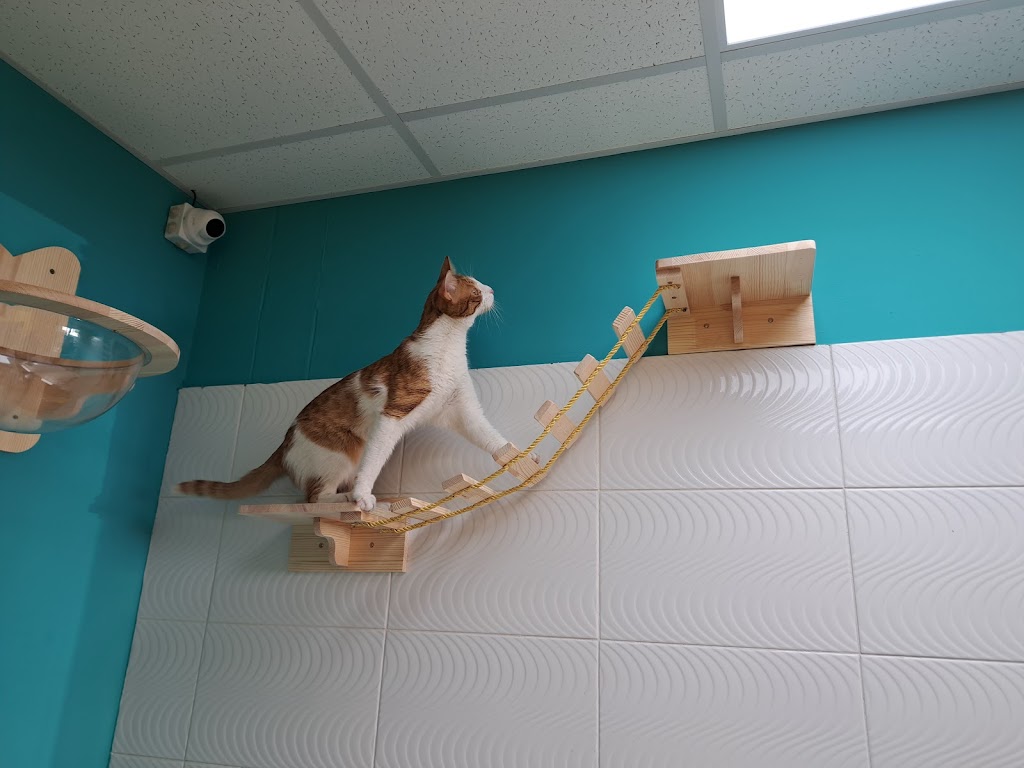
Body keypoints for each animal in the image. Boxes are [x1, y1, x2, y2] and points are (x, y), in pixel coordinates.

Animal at [178, 257, 511, 511]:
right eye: (476, 290)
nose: (494, 288)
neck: (448, 346)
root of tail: (283, 444)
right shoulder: (393, 415)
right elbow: (374, 463)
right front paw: (363, 495)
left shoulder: (460, 408)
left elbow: (489, 435)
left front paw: (514, 455)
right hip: (344, 452)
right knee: (313, 498)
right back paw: (348, 499)